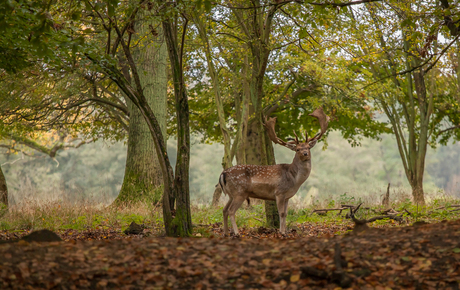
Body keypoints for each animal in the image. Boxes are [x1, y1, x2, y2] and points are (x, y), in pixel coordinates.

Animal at [218, 107, 328, 237]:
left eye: (308, 147)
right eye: (297, 149)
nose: (305, 153)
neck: (294, 180)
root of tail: (223, 174)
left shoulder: (287, 196)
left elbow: (286, 213)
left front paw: (285, 231)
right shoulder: (279, 192)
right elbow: (281, 213)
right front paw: (281, 232)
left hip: (231, 194)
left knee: (224, 210)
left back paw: (225, 233)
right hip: (239, 192)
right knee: (231, 211)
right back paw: (236, 233)